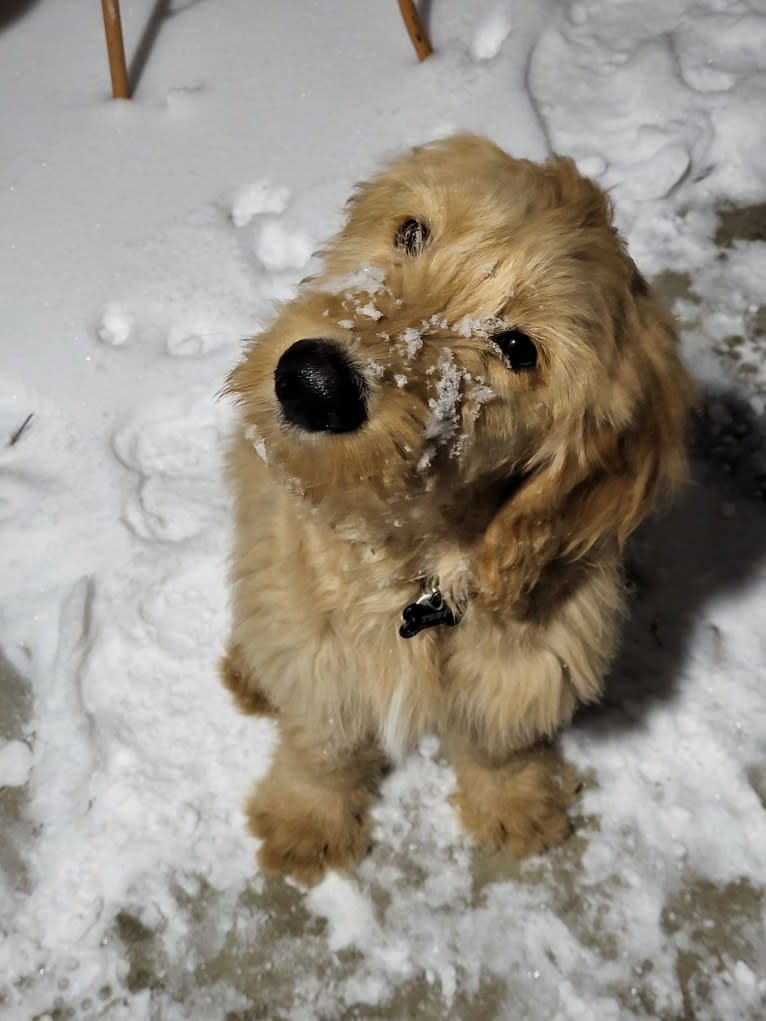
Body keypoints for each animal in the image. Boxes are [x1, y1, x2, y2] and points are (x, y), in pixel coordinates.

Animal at [221, 133, 694, 886]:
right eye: (412, 232)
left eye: (517, 348)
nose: (314, 382)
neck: (417, 565)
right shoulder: (318, 646)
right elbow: (325, 742)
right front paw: (306, 821)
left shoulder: (533, 653)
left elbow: (501, 738)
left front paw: (516, 804)